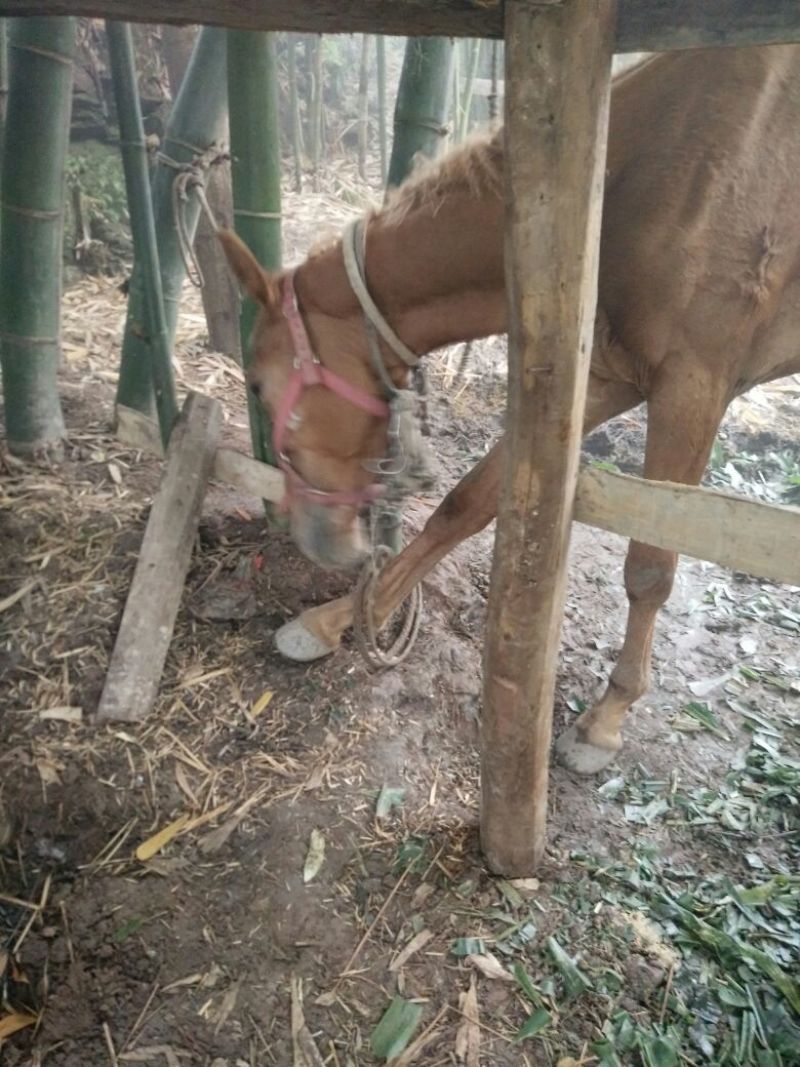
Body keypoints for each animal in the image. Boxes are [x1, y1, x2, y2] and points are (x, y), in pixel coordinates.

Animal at [219, 44, 800, 776]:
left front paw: (607, 719)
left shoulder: (695, 385)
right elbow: (466, 502)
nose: (313, 539)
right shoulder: (606, 374)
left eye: (259, 385)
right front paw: (339, 617)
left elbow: (649, 568)